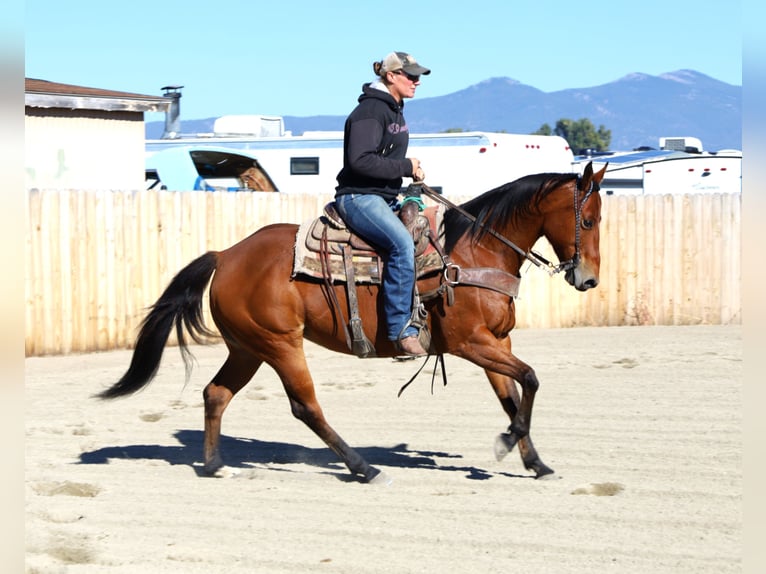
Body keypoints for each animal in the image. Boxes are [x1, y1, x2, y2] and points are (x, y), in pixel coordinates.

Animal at [97, 162, 606, 484]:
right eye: (587, 218)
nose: (588, 279)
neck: (476, 251)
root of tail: (225, 256)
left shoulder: (495, 342)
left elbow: (512, 396)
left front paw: (535, 461)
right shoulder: (472, 343)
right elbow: (531, 379)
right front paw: (507, 443)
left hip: (247, 348)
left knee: (215, 394)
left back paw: (214, 465)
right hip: (280, 345)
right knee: (305, 406)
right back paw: (363, 468)